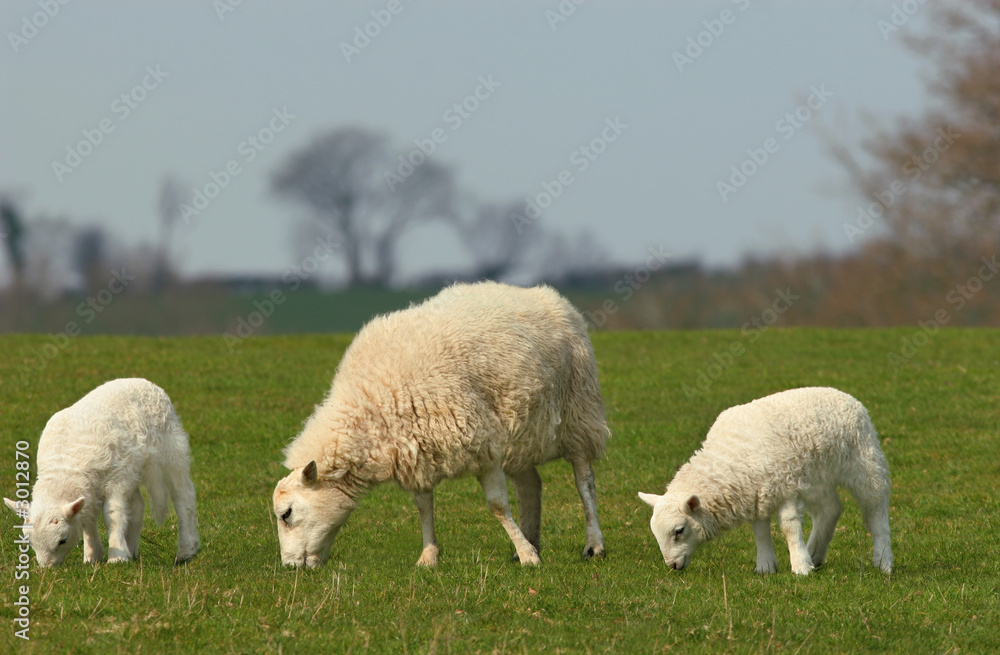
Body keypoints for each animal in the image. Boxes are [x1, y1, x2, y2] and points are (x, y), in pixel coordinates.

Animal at [4, 376, 200, 568]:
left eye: (62, 540)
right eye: (29, 541)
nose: (47, 568)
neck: (64, 466)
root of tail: (142, 381)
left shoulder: (116, 479)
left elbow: (112, 515)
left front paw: (116, 558)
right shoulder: (92, 487)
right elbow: (88, 518)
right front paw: (92, 556)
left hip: (171, 448)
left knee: (184, 497)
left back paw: (186, 550)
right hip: (131, 468)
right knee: (137, 505)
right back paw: (132, 549)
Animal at [270, 282, 608, 568]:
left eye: (287, 514)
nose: (290, 567)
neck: (372, 406)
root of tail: (543, 293)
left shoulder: (481, 443)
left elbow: (497, 505)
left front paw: (529, 558)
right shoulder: (417, 452)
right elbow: (423, 506)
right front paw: (429, 556)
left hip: (579, 412)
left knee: (584, 480)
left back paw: (592, 545)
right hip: (520, 434)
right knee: (531, 485)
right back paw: (529, 541)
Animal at [644, 386, 896, 576]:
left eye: (679, 530)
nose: (672, 566)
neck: (728, 459)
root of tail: (843, 394)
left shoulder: (785, 485)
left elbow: (788, 526)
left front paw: (800, 567)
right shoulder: (756, 493)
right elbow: (760, 531)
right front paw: (765, 566)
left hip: (865, 462)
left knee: (876, 509)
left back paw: (883, 561)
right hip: (816, 477)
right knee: (830, 509)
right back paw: (814, 553)